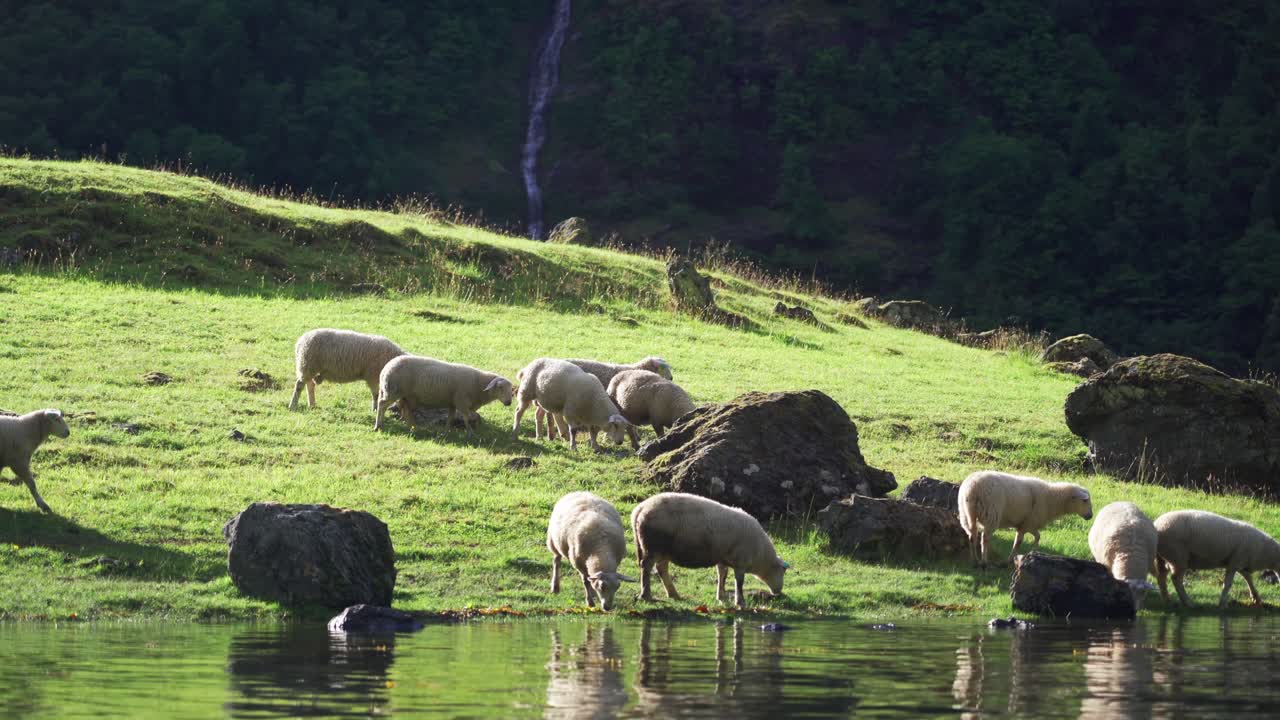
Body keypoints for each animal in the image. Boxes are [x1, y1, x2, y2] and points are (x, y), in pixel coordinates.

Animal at [374, 355, 513, 434]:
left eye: (511, 390)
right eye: (500, 387)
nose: (508, 403)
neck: (478, 384)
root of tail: (386, 368)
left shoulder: (453, 403)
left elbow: (450, 417)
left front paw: (447, 431)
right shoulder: (462, 402)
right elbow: (466, 418)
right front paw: (470, 433)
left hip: (398, 393)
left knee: (405, 409)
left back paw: (413, 427)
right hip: (393, 391)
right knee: (382, 405)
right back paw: (378, 426)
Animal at [537, 356, 672, 442]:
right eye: (662, 368)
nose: (671, 378)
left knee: (543, 413)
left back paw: (547, 435)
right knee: (553, 414)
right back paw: (559, 434)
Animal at [630, 492, 789, 608]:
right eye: (783, 571)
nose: (778, 592)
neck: (760, 555)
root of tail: (639, 510)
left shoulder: (723, 558)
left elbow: (722, 575)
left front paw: (721, 597)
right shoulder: (740, 562)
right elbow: (739, 582)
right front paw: (740, 602)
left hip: (662, 549)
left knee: (661, 568)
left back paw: (673, 594)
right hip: (653, 546)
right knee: (647, 567)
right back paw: (646, 596)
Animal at [957, 470, 1093, 567]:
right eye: (1085, 500)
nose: (1090, 516)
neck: (1051, 499)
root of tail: (972, 489)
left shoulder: (1024, 524)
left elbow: (1028, 539)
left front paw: (1023, 555)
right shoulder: (1029, 523)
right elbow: (1023, 541)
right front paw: (1030, 551)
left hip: (965, 514)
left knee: (972, 535)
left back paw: (974, 561)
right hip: (991, 514)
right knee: (984, 538)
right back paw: (984, 562)